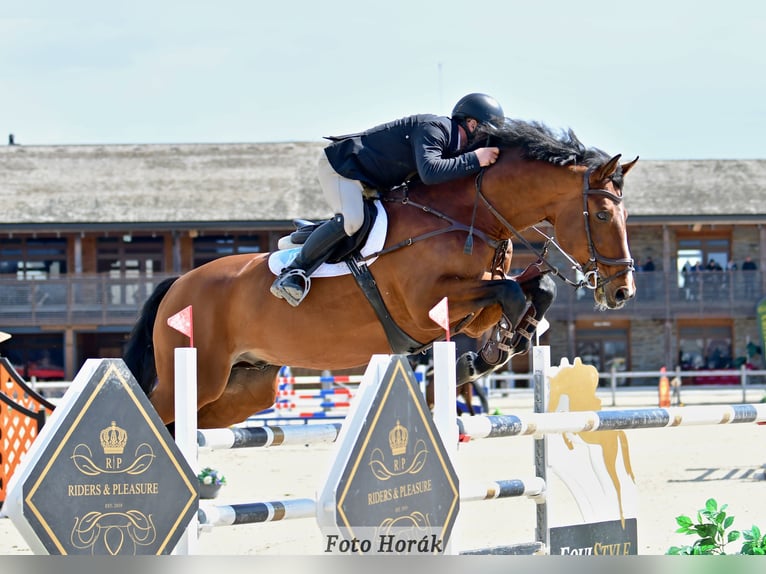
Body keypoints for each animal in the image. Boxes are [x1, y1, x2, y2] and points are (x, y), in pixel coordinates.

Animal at [123, 119, 638, 429]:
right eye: (601, 216)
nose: (622, 292)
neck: (465, 214)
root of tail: (176, 285)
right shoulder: (426, 308)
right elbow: (511, 292)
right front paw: (488, 355)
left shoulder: (474, 304)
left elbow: (536, 288)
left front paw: (498, 348)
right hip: (196, 376)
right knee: (156, 411)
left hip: (244, 388)